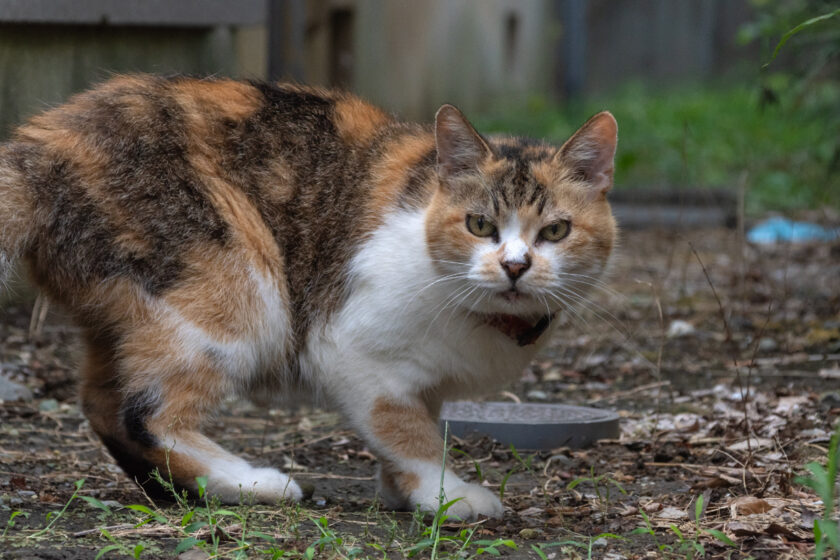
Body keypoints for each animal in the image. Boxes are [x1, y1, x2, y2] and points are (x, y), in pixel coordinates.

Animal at [0, 74, 616, 520]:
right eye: (480, 224)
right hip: (235, 287)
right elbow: (405, 427)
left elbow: (420, 416)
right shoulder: (349, 348)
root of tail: (41, 142)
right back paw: (257, 483)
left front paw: (401, 489)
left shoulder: (425, 376)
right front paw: (445, 493)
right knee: (142, 412)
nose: (515, 266)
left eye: (556, 231)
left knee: (102, 403)